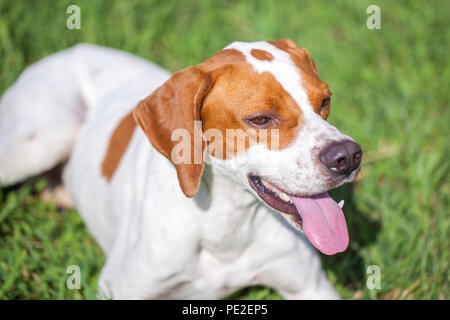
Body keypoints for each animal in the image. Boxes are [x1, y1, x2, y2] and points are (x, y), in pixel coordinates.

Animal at [0, 38, 360, 298]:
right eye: (260, 119)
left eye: (325, 101)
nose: (348, 156)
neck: (226, 222)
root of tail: (70, 51)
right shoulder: (121, 288)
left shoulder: (310, 286)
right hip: (39, 143)